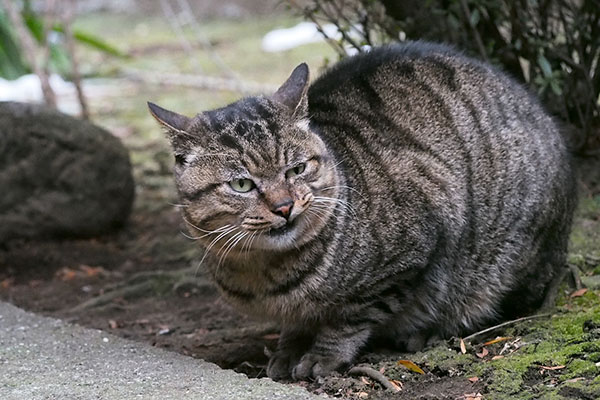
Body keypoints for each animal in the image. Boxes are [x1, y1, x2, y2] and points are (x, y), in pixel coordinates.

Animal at [146, 41, 576, 382]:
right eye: (242, 185)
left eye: (297, 169)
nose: (284, 206)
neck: (266, 273)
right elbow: (295, 327)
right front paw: (287, 350)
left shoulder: (410, 250)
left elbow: (351, 316)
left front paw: (321, 356)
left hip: (503, 256)